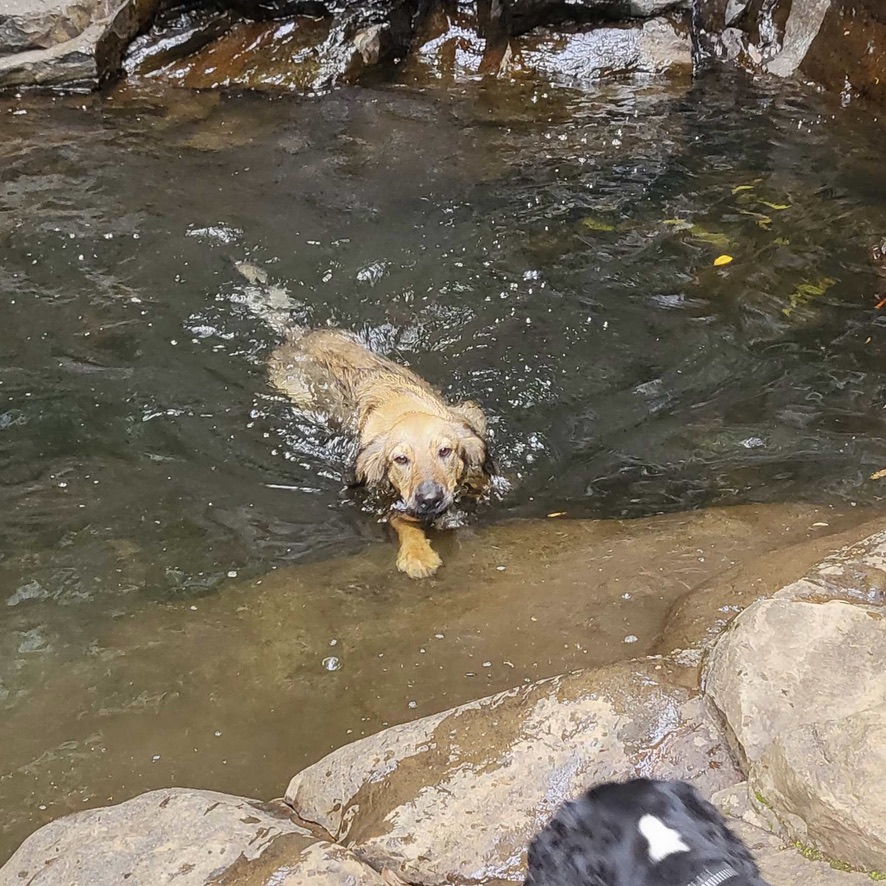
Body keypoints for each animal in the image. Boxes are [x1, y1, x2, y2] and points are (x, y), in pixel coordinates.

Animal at [268, 330, 496, 580]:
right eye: (401, 459)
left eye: (445, 451)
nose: (429, 499)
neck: (405, 408)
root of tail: (301, 335)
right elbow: (402, 521)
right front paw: (417, 555)